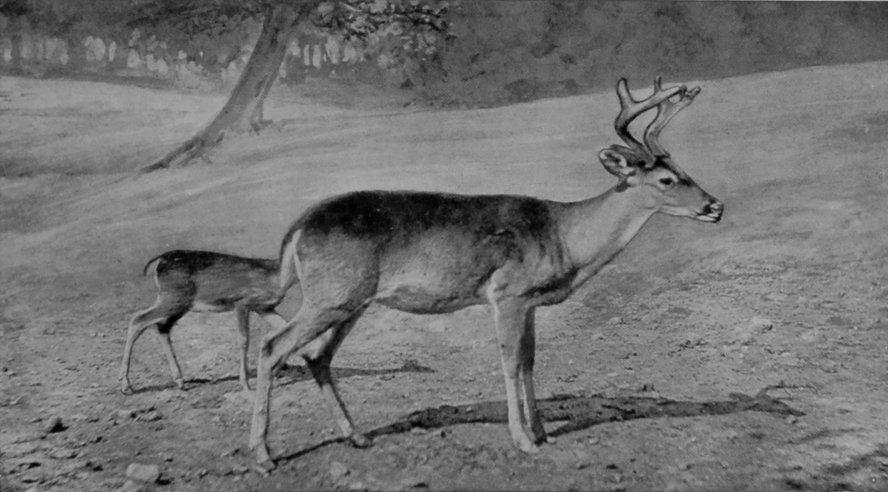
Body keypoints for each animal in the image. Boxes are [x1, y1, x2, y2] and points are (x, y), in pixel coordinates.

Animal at [248, 77, 724, 470]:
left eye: (684, 170)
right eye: (665, 180)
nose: (715, 206)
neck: (564, 236)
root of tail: (297, 228)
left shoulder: (529, 302)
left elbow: (530, 359)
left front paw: (543, 433)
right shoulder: (507, 293)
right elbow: (510, 362)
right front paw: (523, 440)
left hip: (350, 300)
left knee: (317, 355)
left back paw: (357, 436)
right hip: (332, 294)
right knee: (273, 347)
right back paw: (265, 457)